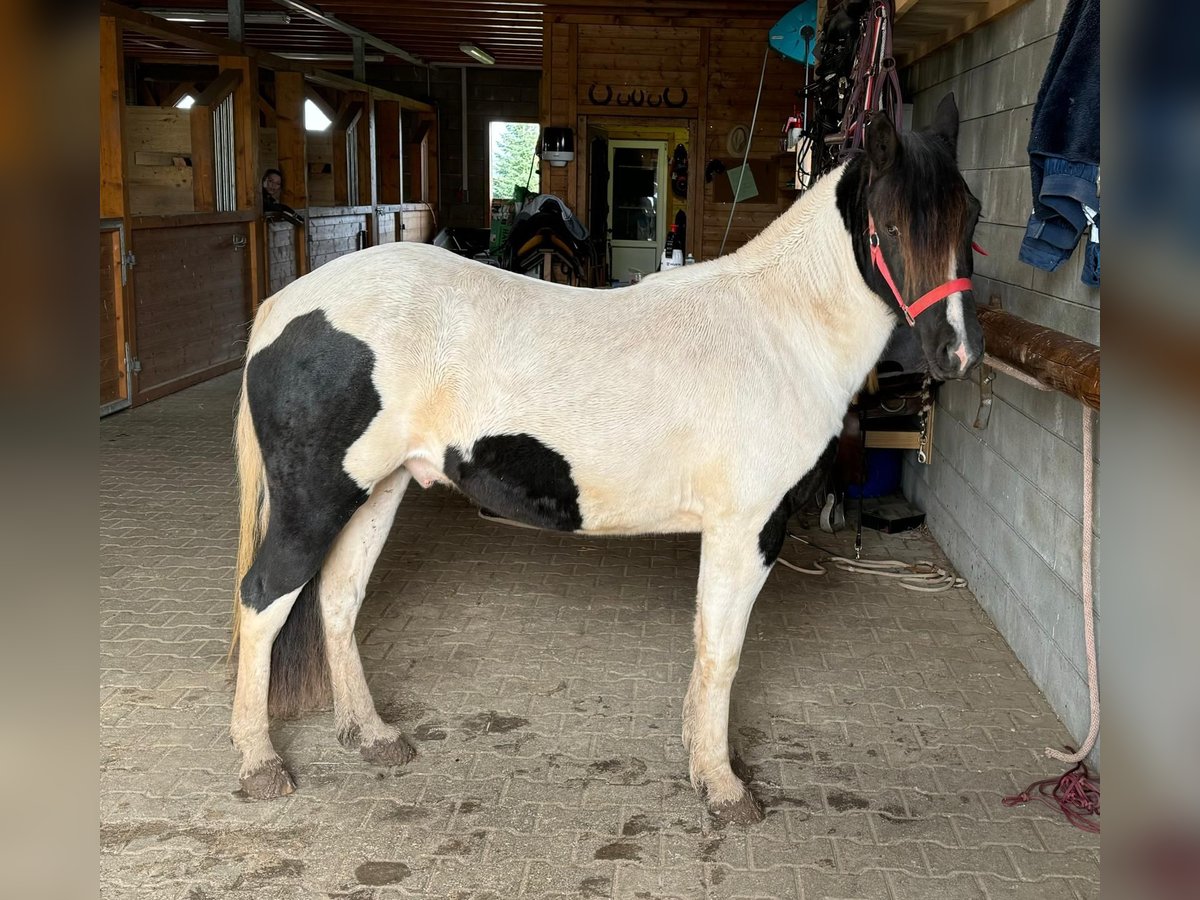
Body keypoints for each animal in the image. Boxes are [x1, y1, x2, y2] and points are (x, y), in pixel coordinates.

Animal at [229, 97, 979, 825]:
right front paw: (724, 786)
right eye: (889, 224)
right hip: (316, 502)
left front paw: (700, 759)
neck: (778, 332)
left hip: (378, 489)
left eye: (968, 217)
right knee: (263, 599)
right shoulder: (747, 530)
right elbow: (723, 651)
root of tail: (282, 307)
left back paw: (371, 736)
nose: (956, 357)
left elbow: (705, 643)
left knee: (338, 599)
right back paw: (260, 763)